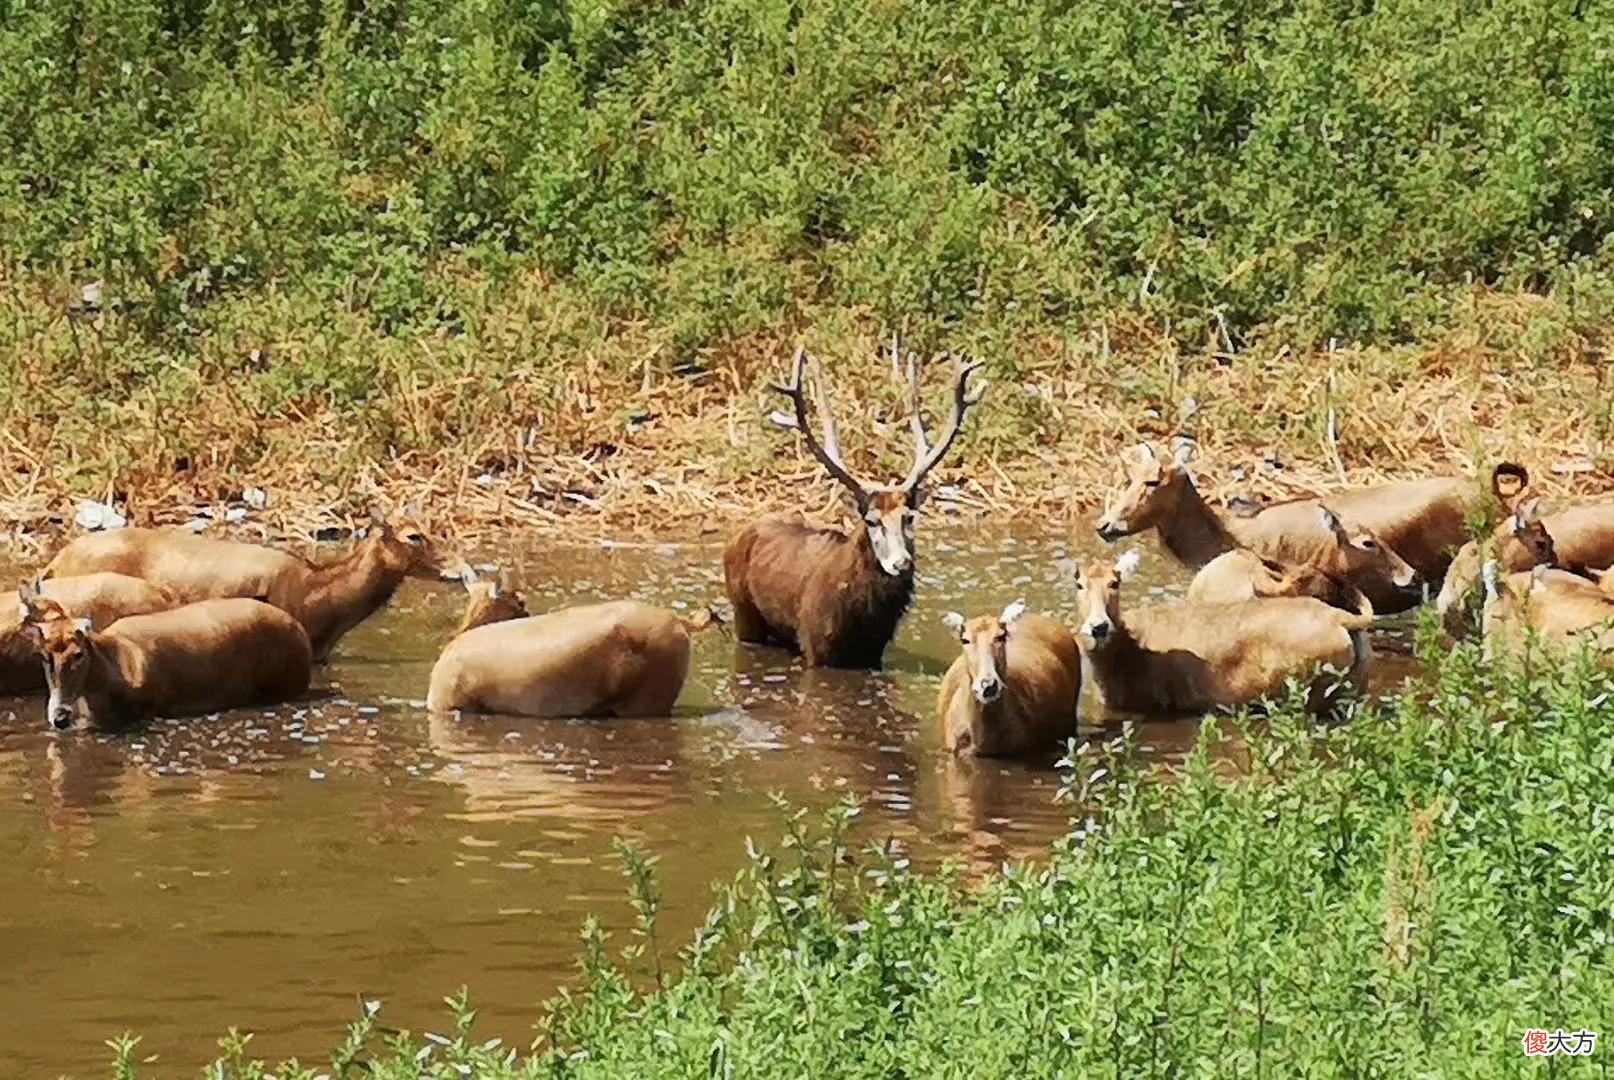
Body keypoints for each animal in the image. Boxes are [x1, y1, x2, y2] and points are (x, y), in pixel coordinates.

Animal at [724, 344, 986, 668]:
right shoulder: (815, 646)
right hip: (743, 612)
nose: (901, 563)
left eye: (909, 517)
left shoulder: (874, 654)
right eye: (872, 521)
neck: (861, 624)